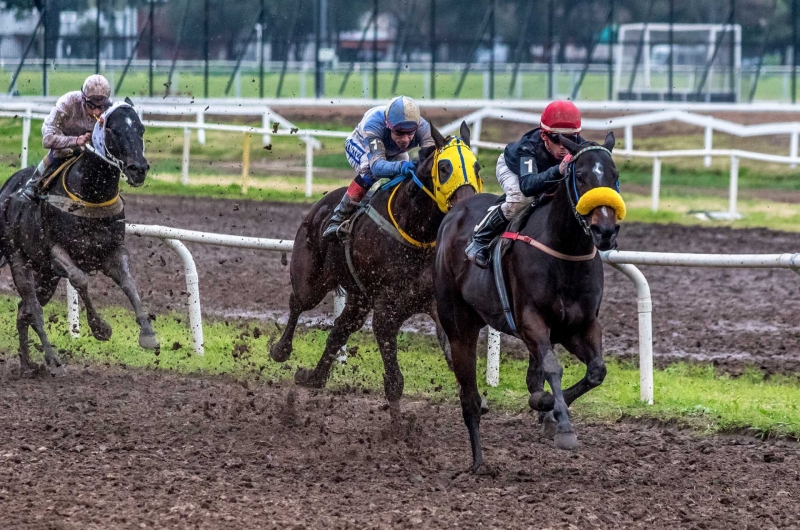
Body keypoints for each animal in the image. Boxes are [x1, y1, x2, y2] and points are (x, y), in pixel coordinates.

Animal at [268, 121, 482, 418]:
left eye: (477, 167)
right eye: (444, 167)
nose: (467, 204)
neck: (415, 232)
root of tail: (320, 205)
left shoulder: (436, 304)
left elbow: (454, 356)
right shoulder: (386, 313)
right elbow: (395, 381)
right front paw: (398, 425)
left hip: (359, 298)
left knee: (339, 330)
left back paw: (314, 377)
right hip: (312, 278)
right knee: (297, 303)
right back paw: (281, 349)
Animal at [434, 133, 620, 470]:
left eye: (615, 175)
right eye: (581, 176)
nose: (606, 231)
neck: (565, 250)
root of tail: (458, 208)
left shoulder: (580, 325)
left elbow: (596, 371)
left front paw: (547, 408)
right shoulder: (531, 320)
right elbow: (552, 367)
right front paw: (564, 427)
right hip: (458, 323)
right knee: (469, 394)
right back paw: (478, 462)